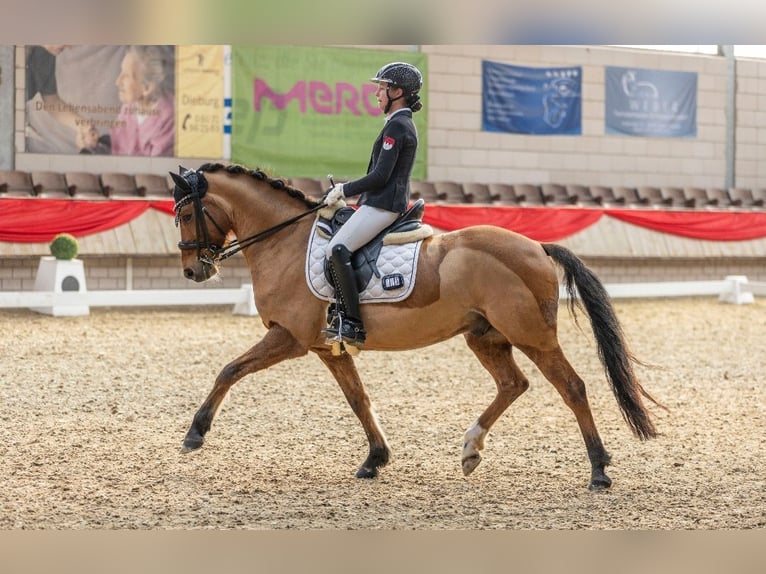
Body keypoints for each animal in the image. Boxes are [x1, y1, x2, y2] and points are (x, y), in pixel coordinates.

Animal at [171, 162, 664, 490]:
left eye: (186, 214)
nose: (194, 271)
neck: (284, 242)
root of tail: (538, 246)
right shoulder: (328, 347)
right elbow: (359, 399)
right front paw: (375, 459)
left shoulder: (289, 337)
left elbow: (230, 370)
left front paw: (195, 433)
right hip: (485, 336)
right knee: (513, 384)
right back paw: (471, 449)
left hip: (533, 336)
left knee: (572, 387)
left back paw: (599, 469)